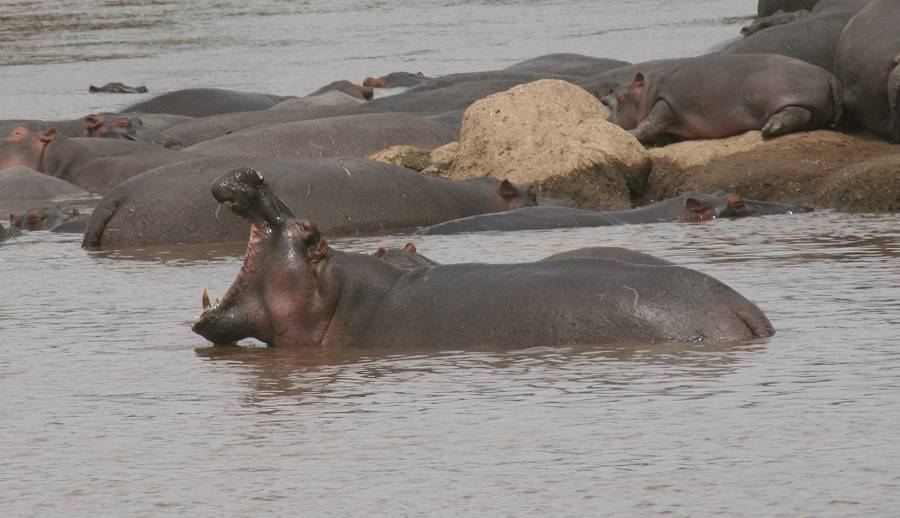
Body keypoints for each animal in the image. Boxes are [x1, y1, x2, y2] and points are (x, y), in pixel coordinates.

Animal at [604, 53, 844, 143]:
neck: (649, 89)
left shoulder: (665, 104)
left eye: (621, 96)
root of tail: (831, 77)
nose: (607, 120)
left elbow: (649, 123)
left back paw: (769, 129)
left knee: (798, 112)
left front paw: (631, 134)